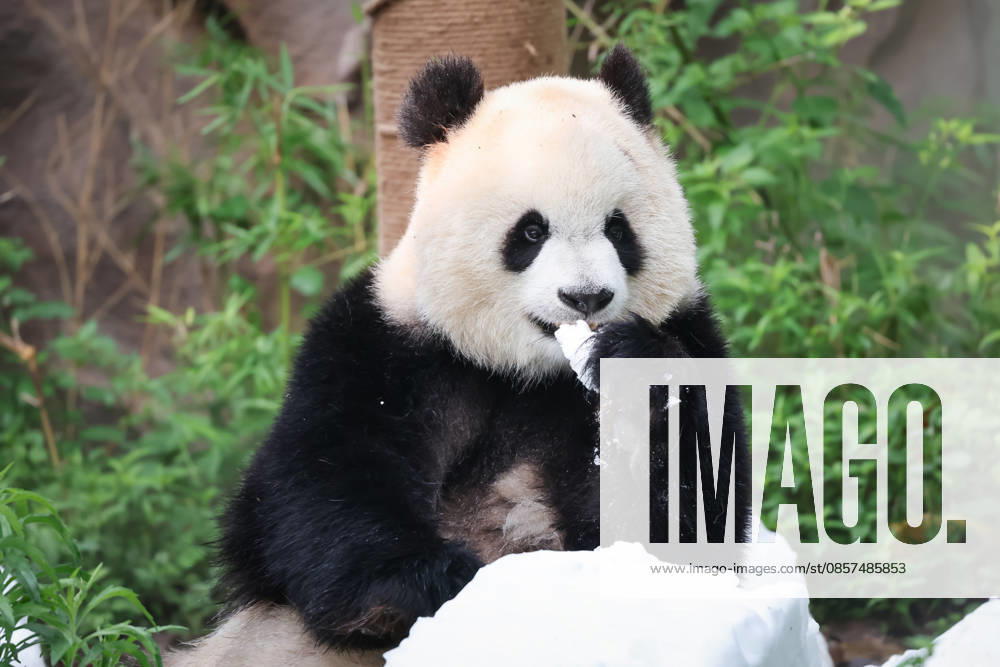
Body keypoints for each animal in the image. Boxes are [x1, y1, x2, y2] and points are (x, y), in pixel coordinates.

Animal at [211, 45, 747, 656]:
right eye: (531, 232)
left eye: (618, 228)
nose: (586, 296)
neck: (529, 371)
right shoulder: (385, 346)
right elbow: (316, 479)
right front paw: (422, 582)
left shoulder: (692, 333)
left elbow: (685, 525)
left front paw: (632, 367)